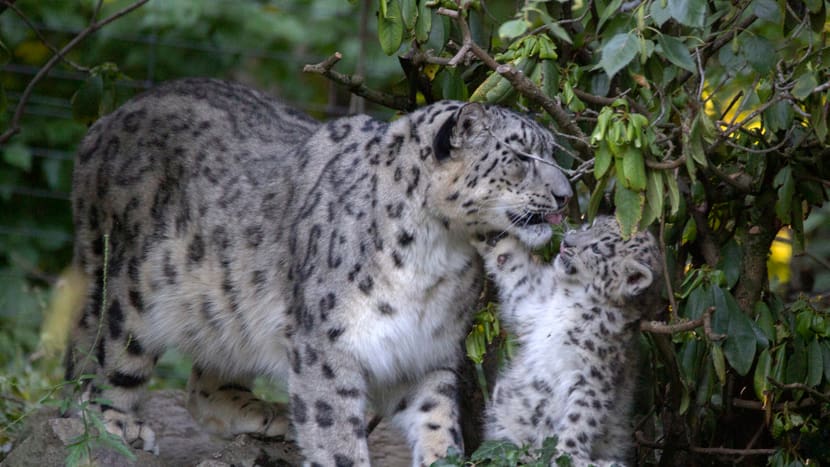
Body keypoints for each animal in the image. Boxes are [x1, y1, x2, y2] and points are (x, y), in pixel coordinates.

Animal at [65, 78, 576, 466]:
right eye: (521, 157)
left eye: (550, 152)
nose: (566, 195)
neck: (439, 255)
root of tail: (104, 123)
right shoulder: (328, 344)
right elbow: (335, 432)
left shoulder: (425, 349)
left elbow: (436, 417)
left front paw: (443, 455)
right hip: (129, 286)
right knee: (98, 355)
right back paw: (115, 423)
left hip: (226, 305)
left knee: (201, 384)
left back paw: (263, 414)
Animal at [474, 218, 664, 466]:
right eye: (591, 225)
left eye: (597, 249)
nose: (567, 241)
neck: (570, 297)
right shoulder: (528, 298)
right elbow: (508, 258)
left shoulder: (591, 374)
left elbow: (580, 417)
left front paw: (568, 454)